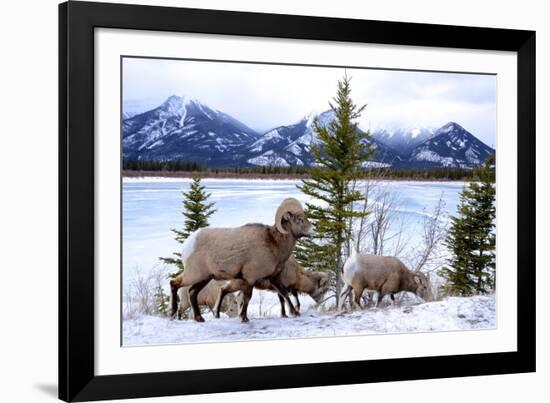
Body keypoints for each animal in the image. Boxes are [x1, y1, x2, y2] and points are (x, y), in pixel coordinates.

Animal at [168, 197, 314, 324]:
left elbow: (284, 294)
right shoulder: (250, 278)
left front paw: (295, 313)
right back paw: (172, 313)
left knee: (192, 292)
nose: (313, 230)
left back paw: (199, 318)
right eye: (299, 219)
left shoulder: (275, 278)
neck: (274, 243)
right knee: (174, 283)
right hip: (194, 275)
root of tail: (188, 244)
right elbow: (247, 298)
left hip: (204, 277)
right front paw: (244, 318)